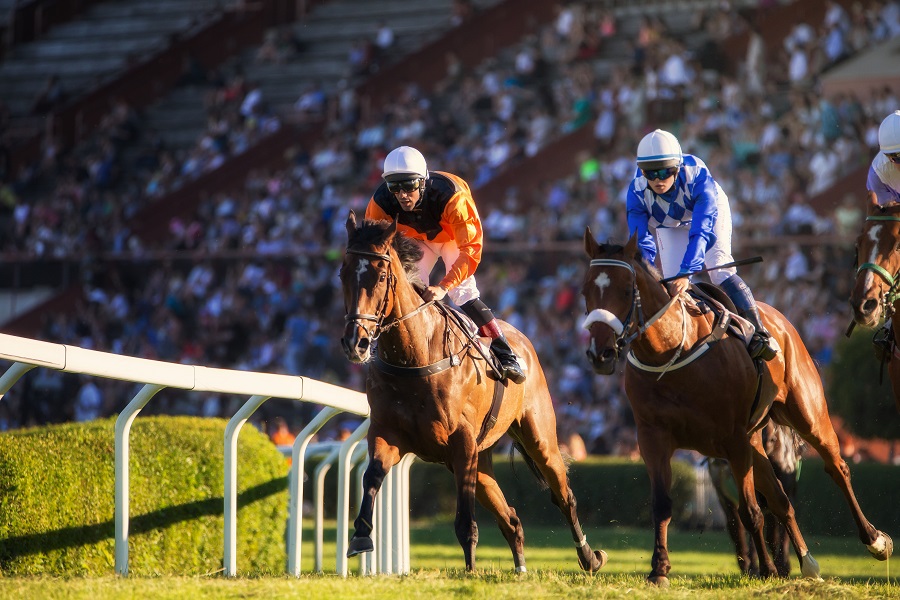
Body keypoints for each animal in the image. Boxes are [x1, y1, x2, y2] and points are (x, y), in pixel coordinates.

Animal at [340, 213, 612, 576]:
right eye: (343, 273)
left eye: (381, 276)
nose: (355, 343)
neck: (415, 357)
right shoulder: (388, 434)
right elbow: (371, 476)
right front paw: (359, 536)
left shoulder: (461, 442)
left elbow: (464, 520)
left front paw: (470, 571)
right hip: (479, 460)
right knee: (511, 518)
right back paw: (520, 569)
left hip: (538, 437)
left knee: (563, 495)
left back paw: (589, 558)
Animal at [580, 230, 888, 584]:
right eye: (586, 291)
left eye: (626, 290)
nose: (600, 353)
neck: (671, 352)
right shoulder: (654, 437)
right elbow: (663, 504)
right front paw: (659, 569)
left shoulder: (733, 439)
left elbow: (750, 512)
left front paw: (766, 570)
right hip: (755, 441)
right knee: (781, 501)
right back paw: (808, 562)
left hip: (806, 415)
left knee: (836, 468)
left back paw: (874, 540)